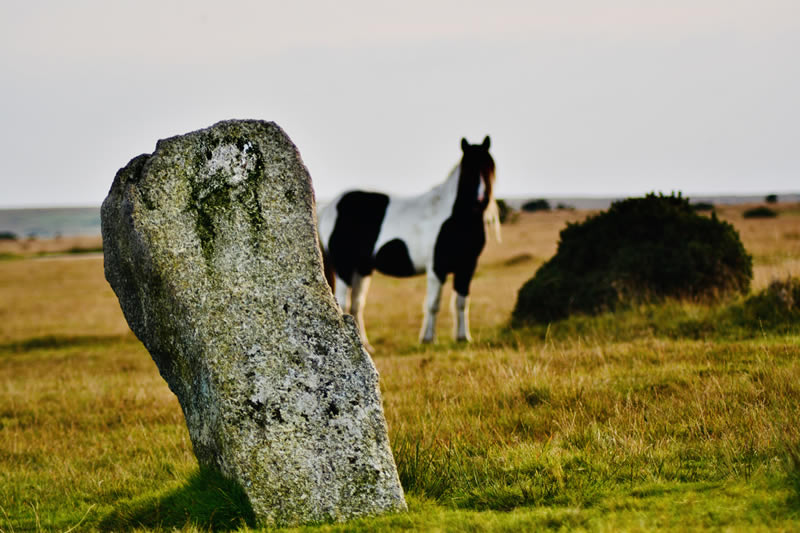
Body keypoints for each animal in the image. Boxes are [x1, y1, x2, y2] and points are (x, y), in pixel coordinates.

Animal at [318, 134, 500, 350]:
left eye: (489, 167)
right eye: (468, 169)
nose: (481, 200)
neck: (457, 219)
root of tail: (329, 207)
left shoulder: (467, 267)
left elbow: (462, 302)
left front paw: (463, 337)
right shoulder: (436, 268)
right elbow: (433, 304)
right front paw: (428, 338)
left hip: (362, 269)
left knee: (357, 303)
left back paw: (366, 344)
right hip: (344, 266)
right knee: (344, 302)